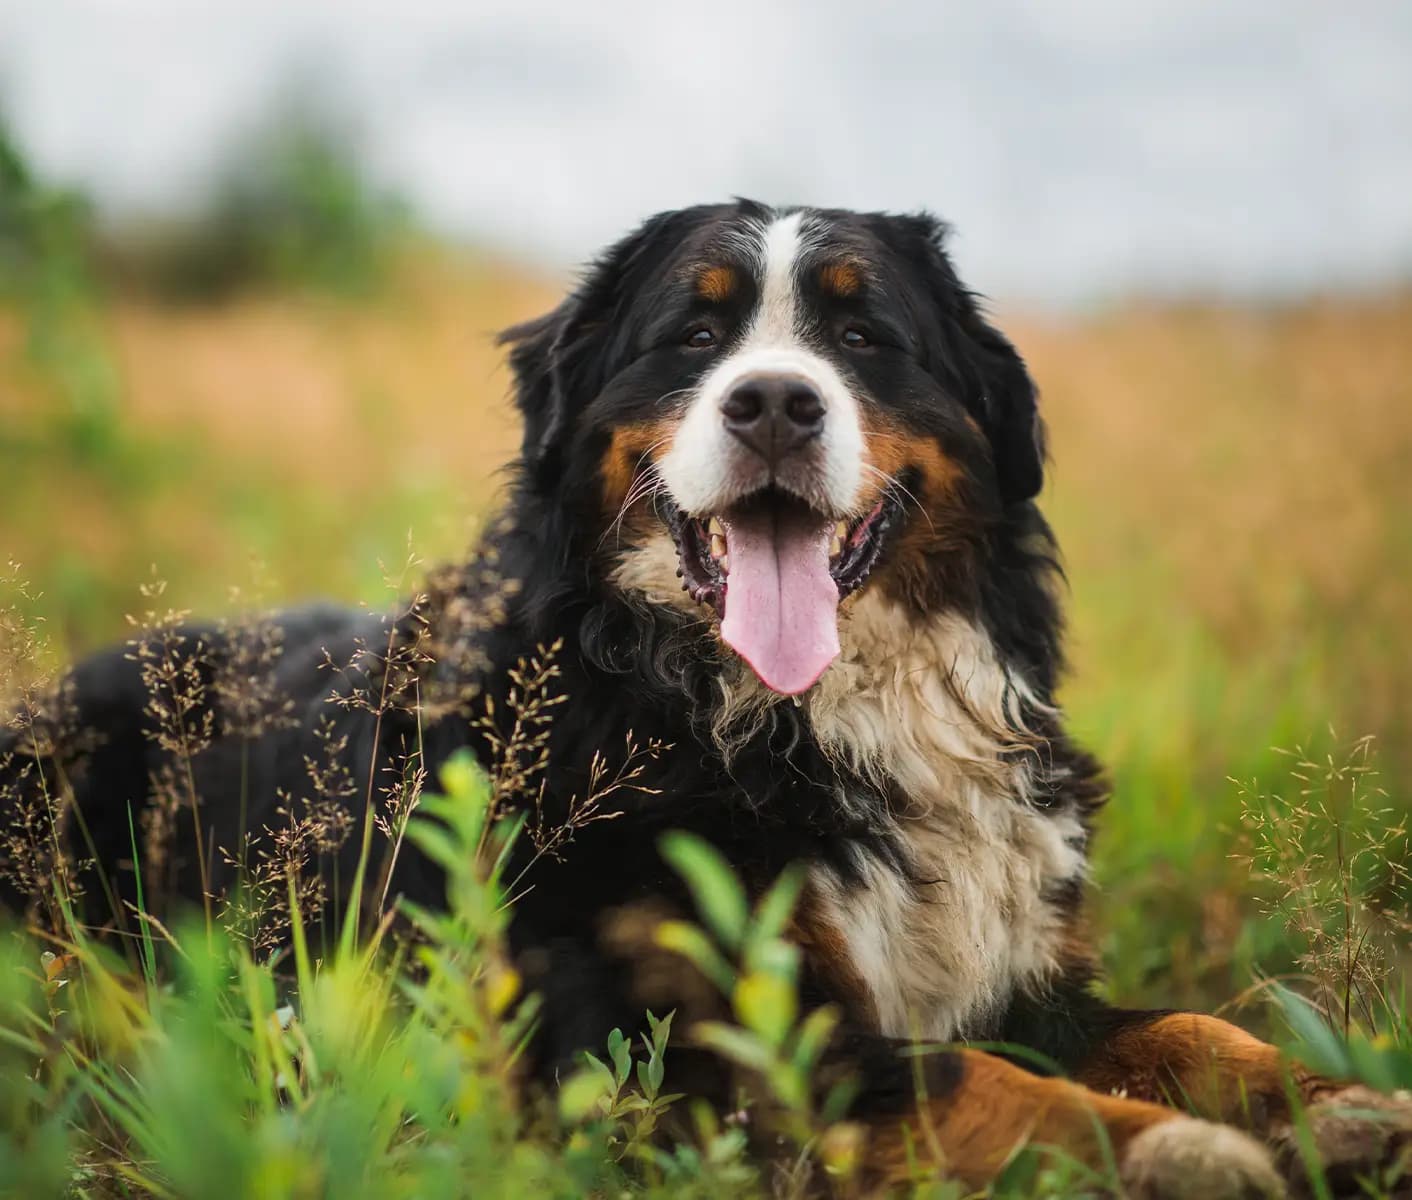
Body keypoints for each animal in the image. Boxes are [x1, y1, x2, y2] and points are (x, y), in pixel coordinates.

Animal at [5, 200, 1406, 1191]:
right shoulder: (678, 1046)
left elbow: (1190, 1028)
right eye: (694, 333)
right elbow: (971, 1083)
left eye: (861, 335)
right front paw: (1176, 1154)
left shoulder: (1022, 977)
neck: (782, 719)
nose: (774, 400)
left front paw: (1335, 1108)